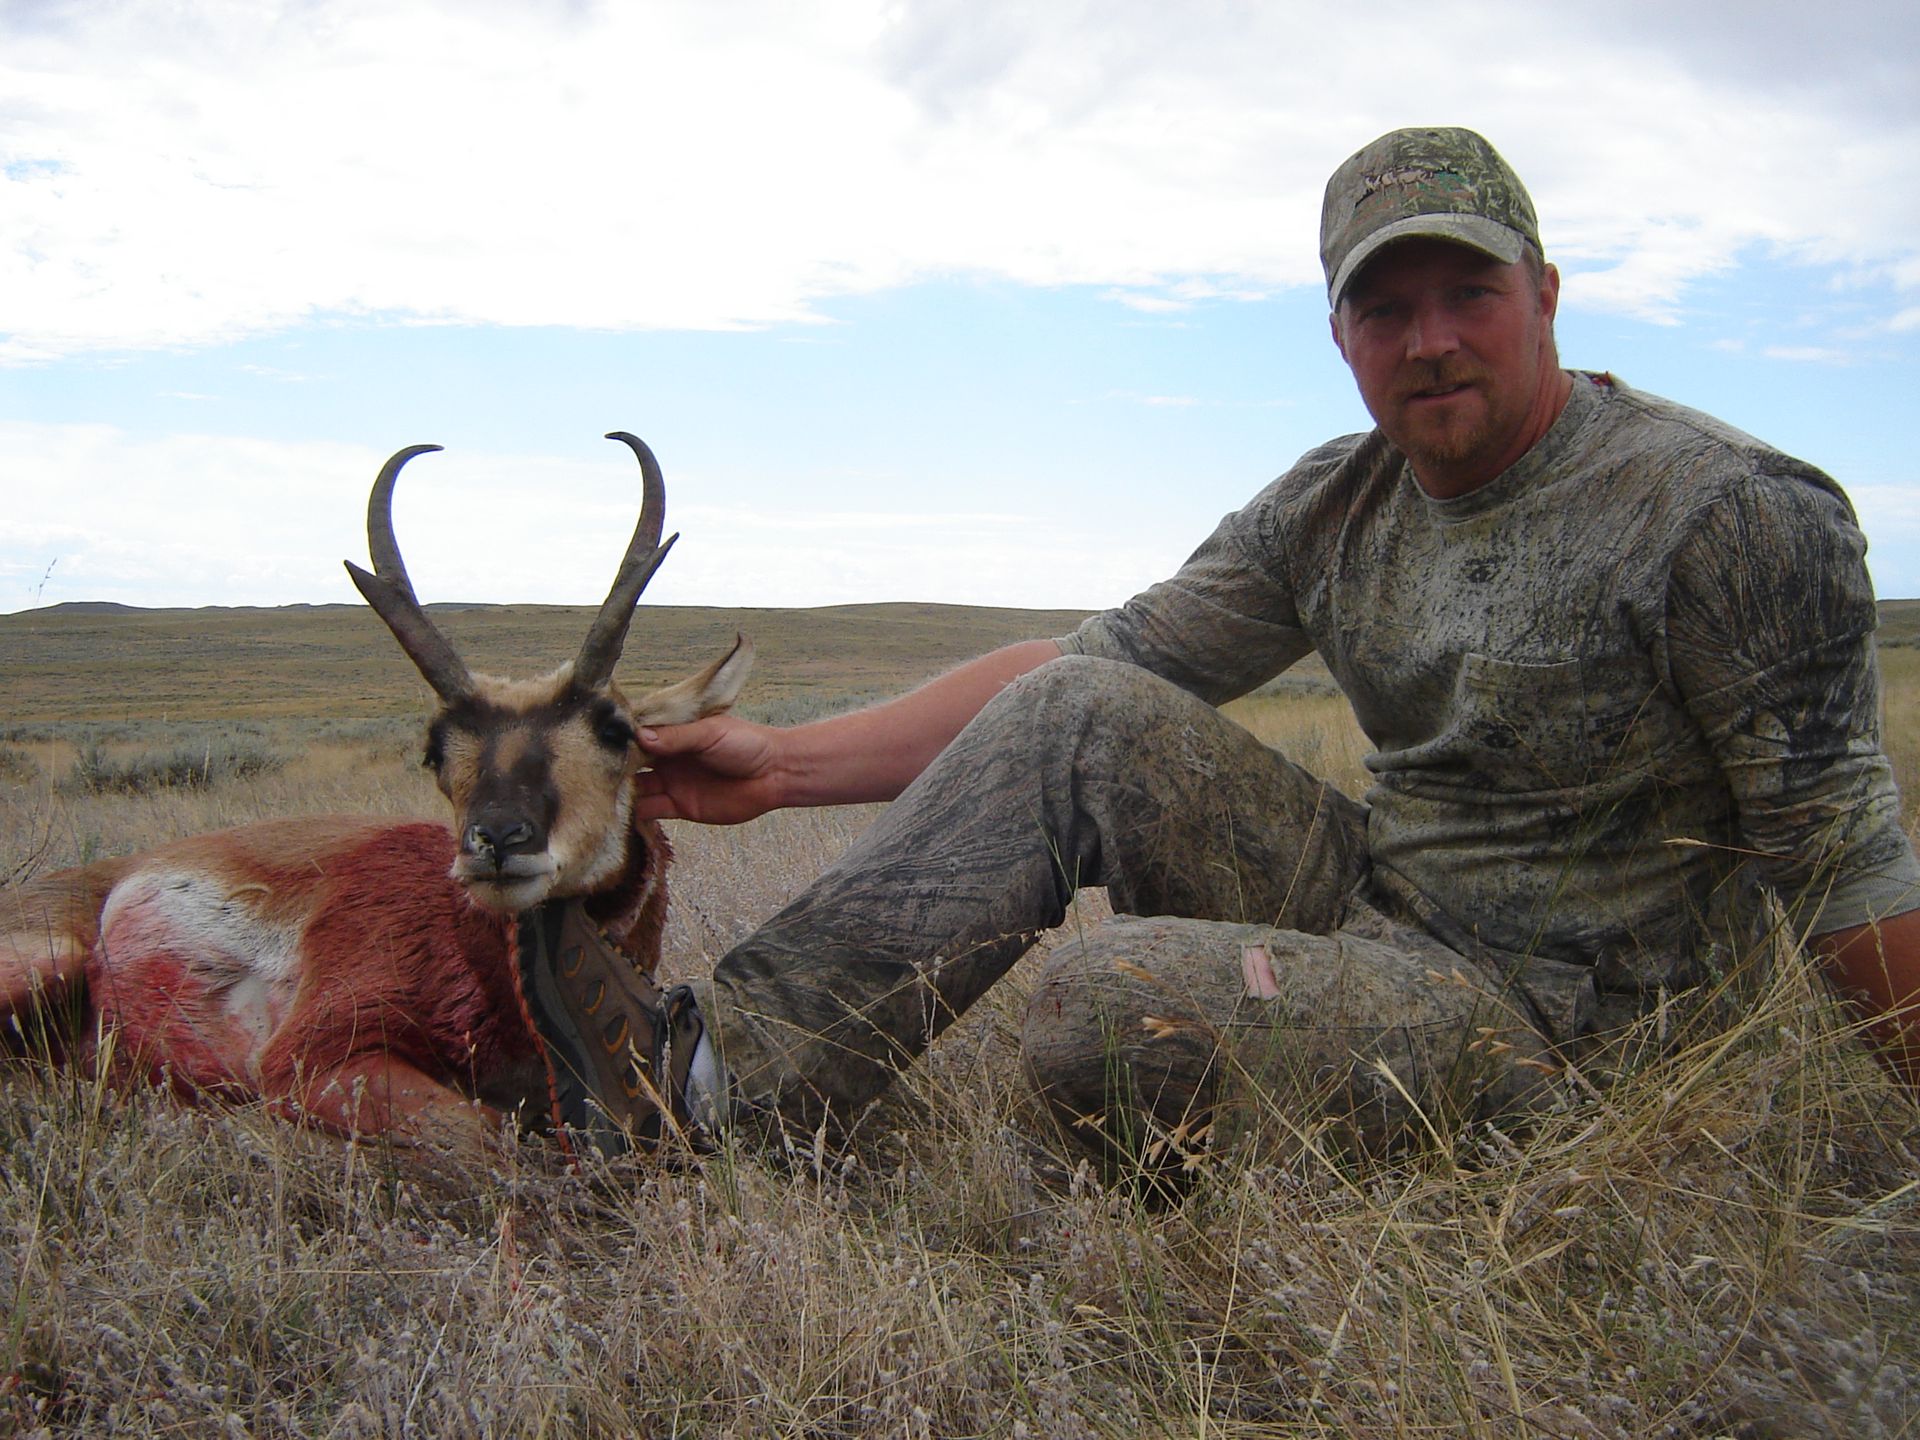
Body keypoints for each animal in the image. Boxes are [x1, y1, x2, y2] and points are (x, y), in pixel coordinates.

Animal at [0, 432, 750, 1154]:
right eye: (436, 747)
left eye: (616, 728)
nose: (496, 843)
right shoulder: (313, 1060)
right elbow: (490, 1138)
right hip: (44, 963)